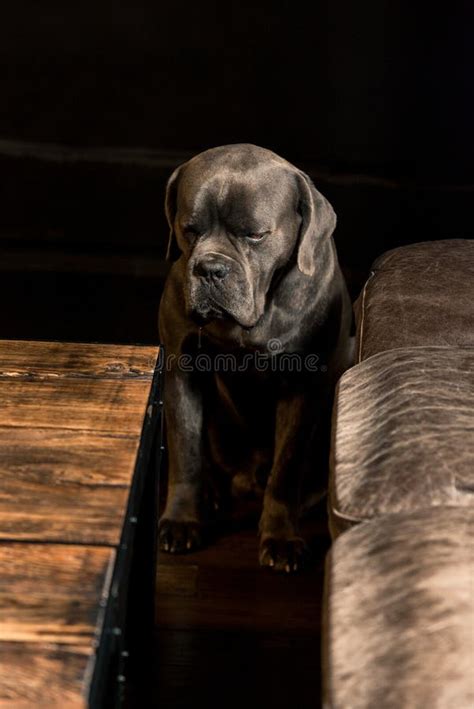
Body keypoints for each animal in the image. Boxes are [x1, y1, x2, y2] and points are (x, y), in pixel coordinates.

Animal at [157, 142, 354, 568]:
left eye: (256, 235)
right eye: (189, 229)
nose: (210, 268)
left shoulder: (301, 388)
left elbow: (287, 467)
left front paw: (280, 537)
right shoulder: (182, 371)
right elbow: (185, 451)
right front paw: (181, 520)